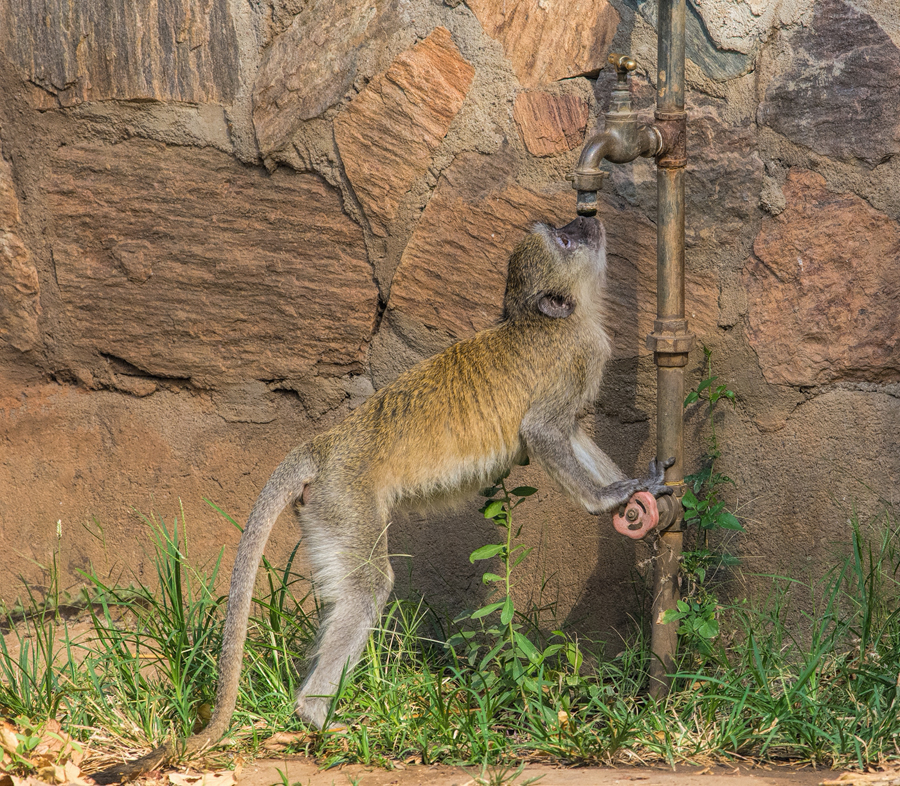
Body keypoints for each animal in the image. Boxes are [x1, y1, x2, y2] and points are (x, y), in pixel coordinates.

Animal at [105, 216, 672, 780]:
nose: (585, 220)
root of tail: (324, 445)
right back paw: (313, 713)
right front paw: (609, 498)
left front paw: (641, 493)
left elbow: (572, 433)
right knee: (367, 587)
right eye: (565, 239)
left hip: (324, 508)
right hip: (345, 497)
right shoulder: (572, 358)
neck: (549, 320)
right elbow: (545, 432)